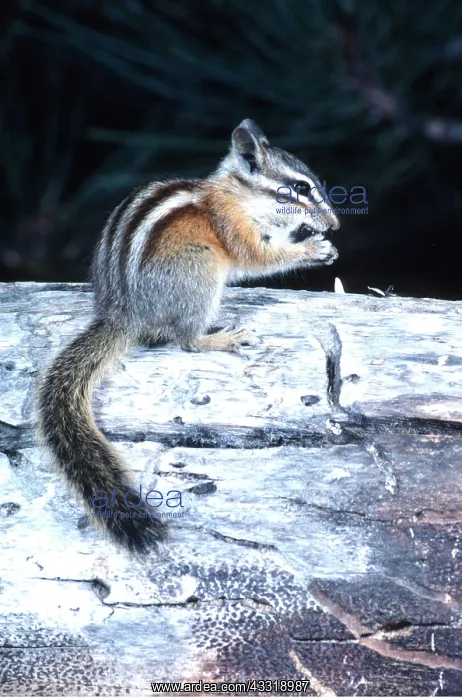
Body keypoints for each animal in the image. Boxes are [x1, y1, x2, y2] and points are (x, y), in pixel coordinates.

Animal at [37, 119, 340, 554]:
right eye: (299, 188)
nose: (334, 224)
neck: (238, 197)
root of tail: (123, 314)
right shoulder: (234, 228)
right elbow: (259, 258)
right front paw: (313, 249)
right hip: (201, 270)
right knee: (186, 340)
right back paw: (225, 339)